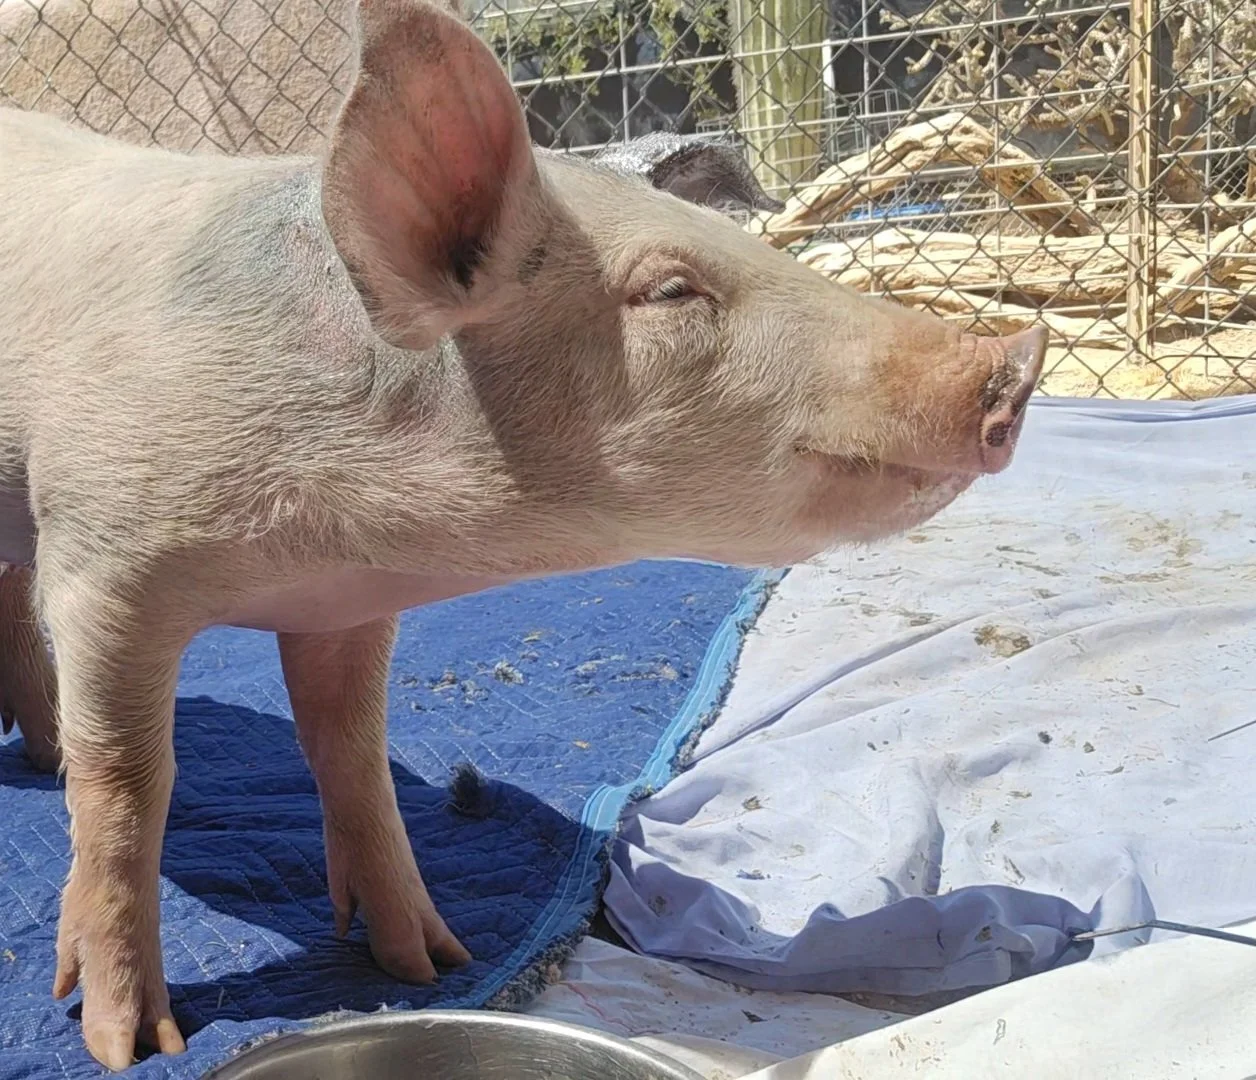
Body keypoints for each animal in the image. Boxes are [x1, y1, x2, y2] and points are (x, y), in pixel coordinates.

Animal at [0, 0, 1046, 1068]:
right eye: (671, 290)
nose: (1017, 357)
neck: (318, 540)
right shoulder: (101, 562)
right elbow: (129, 784)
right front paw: (130, 1045)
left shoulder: (344, 604)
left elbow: (354, 756)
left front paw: (430, 964)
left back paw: (38, 757)